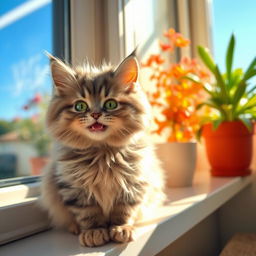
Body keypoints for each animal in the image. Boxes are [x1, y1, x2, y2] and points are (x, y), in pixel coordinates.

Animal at [41, 52, 165, 246]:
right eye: (80, 106)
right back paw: (75, 228)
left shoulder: (133, 184)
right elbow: (88, 214)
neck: (102, 153)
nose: (95, 114)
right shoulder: (75, 188)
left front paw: (121, 229)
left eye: (110, 104)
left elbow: (123, 211)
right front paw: (94, 232)